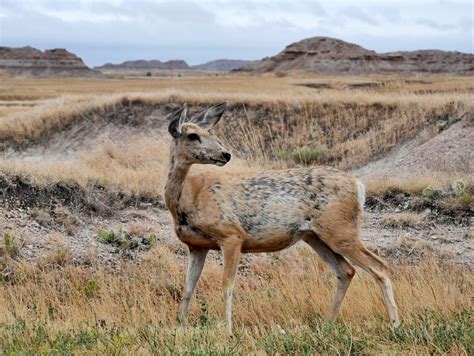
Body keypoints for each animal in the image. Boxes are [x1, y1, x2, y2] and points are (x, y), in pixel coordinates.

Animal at [163, 101, 400, 336]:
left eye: (209, 132)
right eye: (193, 135)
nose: (225, 154)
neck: (188, 198)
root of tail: (358, 186)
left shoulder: (231, 235)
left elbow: (227, 285)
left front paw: (228, 332)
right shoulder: (196, 246)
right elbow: (188, 287)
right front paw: (179, 325)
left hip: (341, 230)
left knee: (380, 266)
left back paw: (395, 325)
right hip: (315, 236)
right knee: (346, 271)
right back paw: (327, 324)